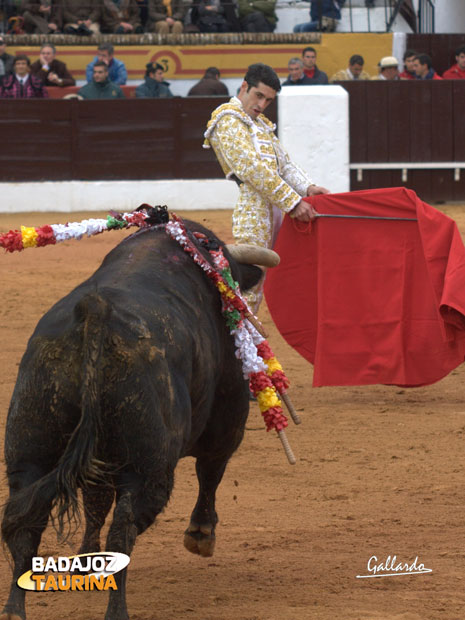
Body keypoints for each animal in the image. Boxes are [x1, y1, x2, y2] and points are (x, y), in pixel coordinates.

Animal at [0, 219, 264, 620]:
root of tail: (96, 312)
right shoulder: (228, 416)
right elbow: (211, 470)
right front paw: (201, 534)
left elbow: (95, 502)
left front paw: (86, 562)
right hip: (148, 469)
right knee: (123, 528)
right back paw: (116, 609)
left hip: (30, 449)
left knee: (28, 522)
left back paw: (15, 607)